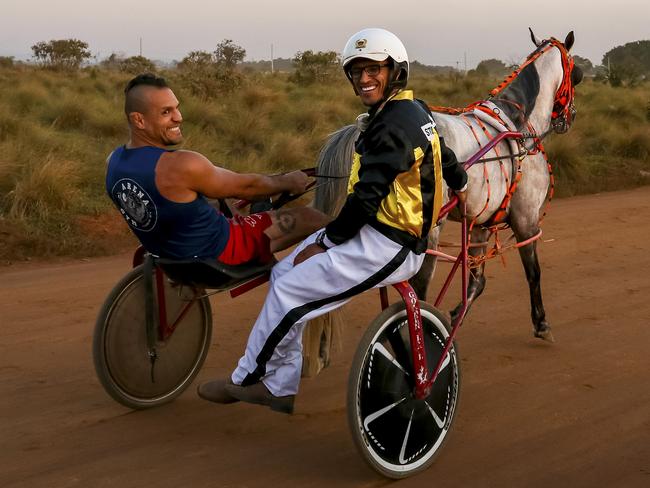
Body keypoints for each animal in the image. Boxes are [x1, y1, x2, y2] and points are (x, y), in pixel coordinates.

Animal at [312, 30, 580, 342]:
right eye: (576, 73)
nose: (570, 117)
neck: (517, 126)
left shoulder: (479, 223)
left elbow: (477, 280)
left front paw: (454, 317)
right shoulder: (526, 219)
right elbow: (533, 271)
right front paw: (541, 322)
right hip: (429, 233)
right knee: (418, 287)